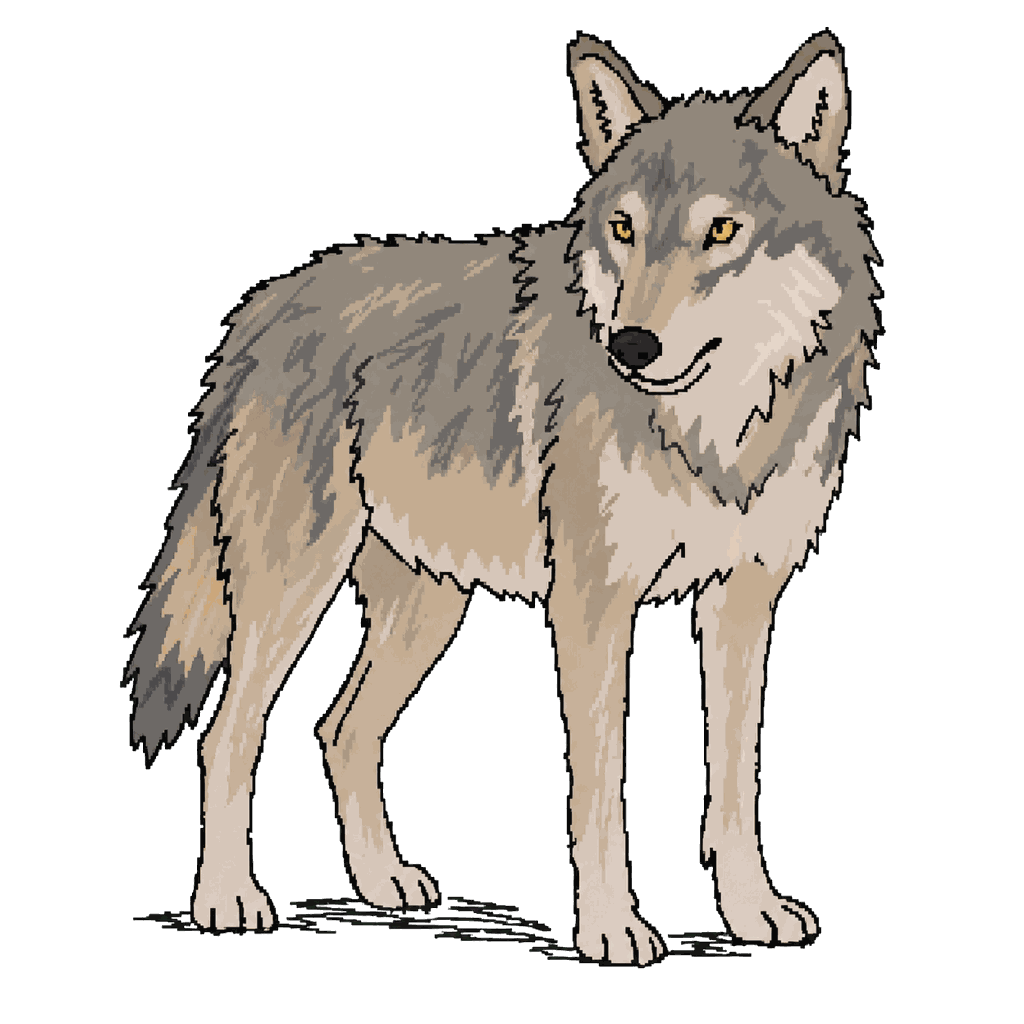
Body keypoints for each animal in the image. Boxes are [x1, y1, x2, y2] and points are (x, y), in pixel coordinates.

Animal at [125, 33, 878, 962]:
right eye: (623, 229)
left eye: (722, 230)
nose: (630, 345)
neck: (714, 433)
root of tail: (264, 307)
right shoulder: (593, 603)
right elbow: (600, 787)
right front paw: (612, 925)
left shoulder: (745, 600)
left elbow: (737, 781)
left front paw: (751, 909)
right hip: (292, 597)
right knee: (231, 735)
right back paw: (228, 897)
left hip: (425, 613)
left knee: (342, 731)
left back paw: (383, 883)